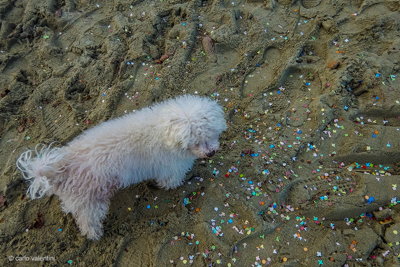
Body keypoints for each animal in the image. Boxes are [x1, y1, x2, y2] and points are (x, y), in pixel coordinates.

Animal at [17, 96, 227, 241]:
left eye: (211, 133)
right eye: (195, 142)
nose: (211, 153)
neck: (164, 130)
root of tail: (58, 169)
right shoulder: (170, 168)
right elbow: (170, 181)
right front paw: (177, 185)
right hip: (91, 202)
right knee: (87, 221)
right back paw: (94, 234)